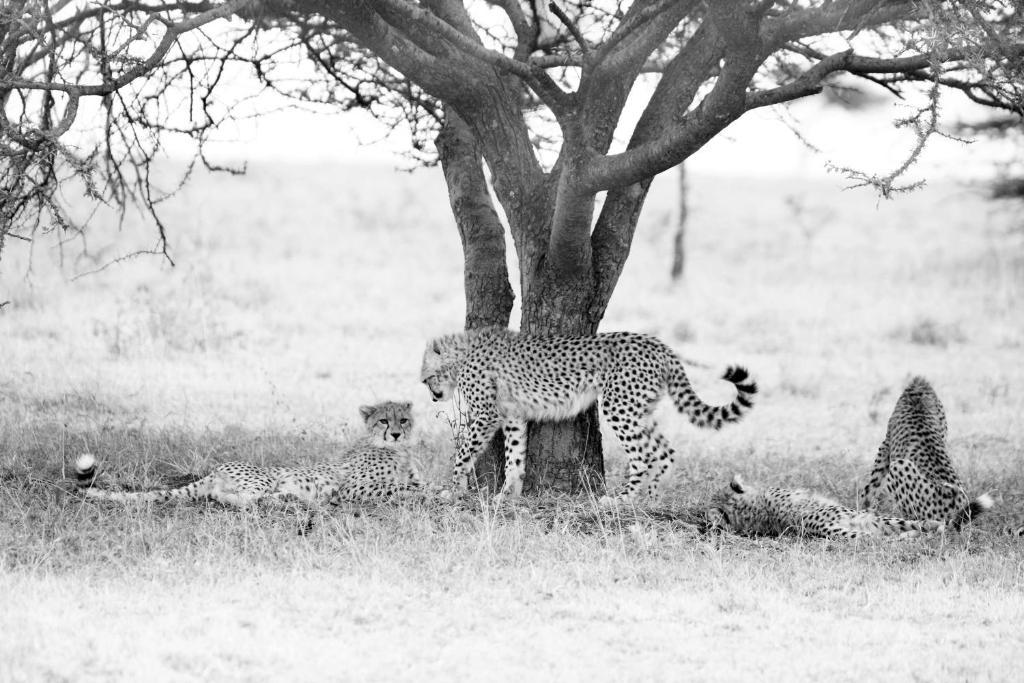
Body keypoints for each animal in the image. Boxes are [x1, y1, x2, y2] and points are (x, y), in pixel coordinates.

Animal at [74, 401, 421, 507]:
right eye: (383, 420)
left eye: (403, 419)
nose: (396, 433)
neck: (399, 450)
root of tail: (216, 469)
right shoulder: (354, 488)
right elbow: (403, 488)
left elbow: (415, 485)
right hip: (262, 479)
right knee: (227, 498)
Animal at [417, 327, 761, 499]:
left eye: (426, 378)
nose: (432, 396)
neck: (463, 352)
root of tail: (660, 345)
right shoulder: (513, 415)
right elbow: (515, 456)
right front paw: (507, 495)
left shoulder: (486, 415)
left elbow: (463, 453)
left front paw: (450, 489)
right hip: (641, 409)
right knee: (665, 451)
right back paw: (649, 497)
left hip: (618, 406)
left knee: (644, 455)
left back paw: (620, 498)